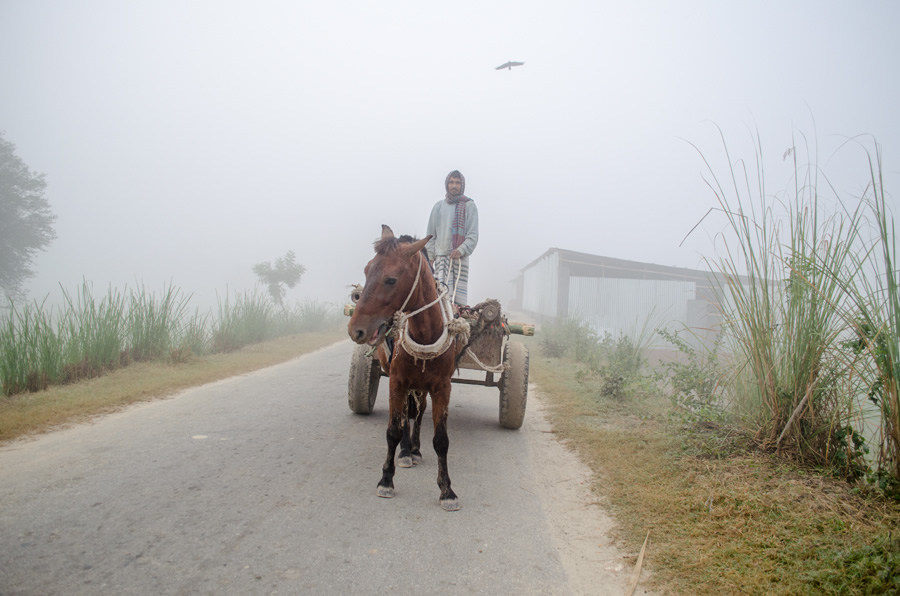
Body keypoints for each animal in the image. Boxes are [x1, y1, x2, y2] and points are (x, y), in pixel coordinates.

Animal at [348, 226, 468, 510]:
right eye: (367, 270)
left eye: (391, 280)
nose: (356, 330)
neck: (424, 334)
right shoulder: (397, 382)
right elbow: (393, 429)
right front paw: (386, 480)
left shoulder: (442, 387)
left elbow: (441, 440)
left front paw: (447, 490)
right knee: (406, 415)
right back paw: (405, 451)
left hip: (422, 387)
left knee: (418, 412)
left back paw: (414, 448)